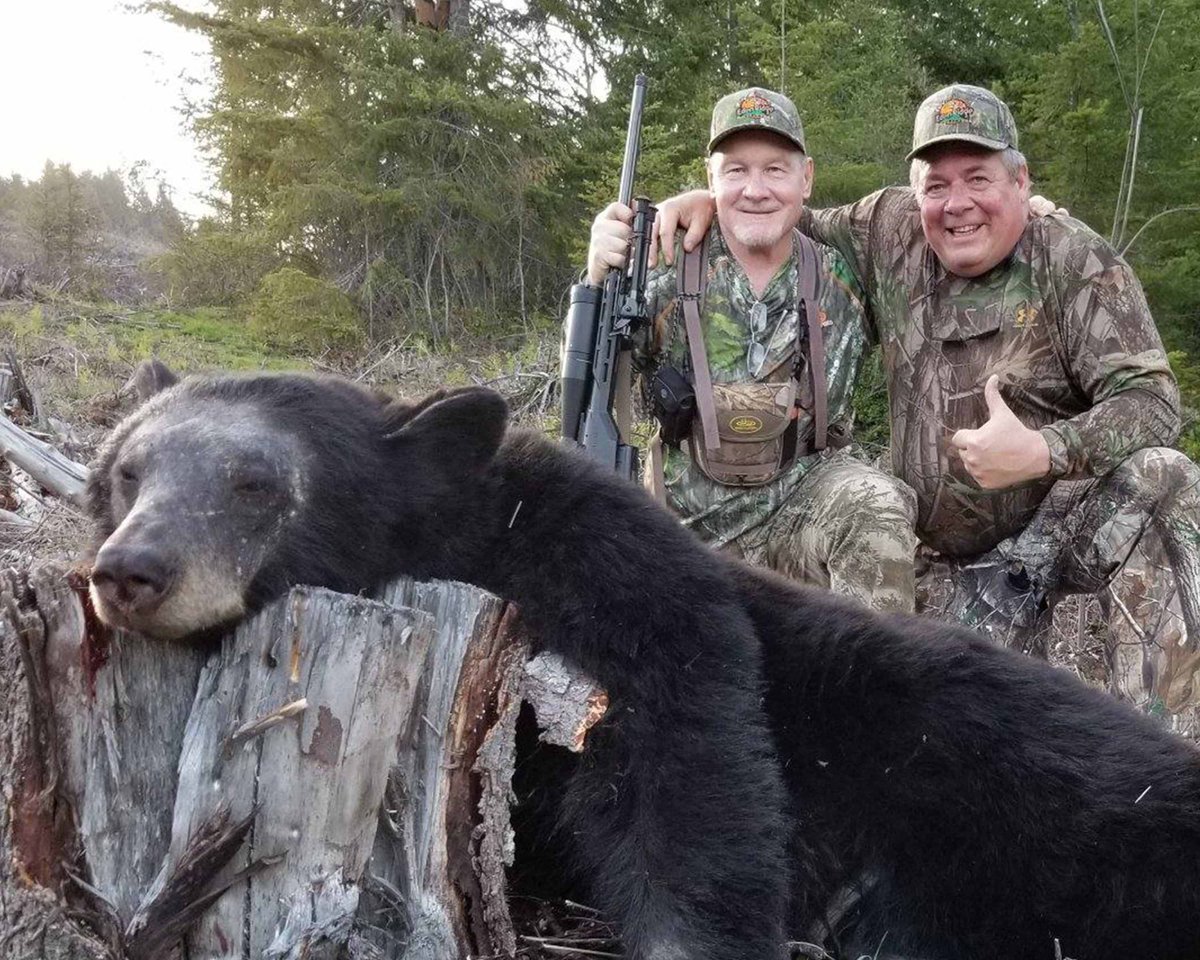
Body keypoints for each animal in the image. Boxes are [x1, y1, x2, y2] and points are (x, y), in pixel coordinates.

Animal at [85, 368, 1200, 960]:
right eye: (129, 472)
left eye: (254, 482)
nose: (130, 569)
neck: (477, 549)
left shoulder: (622, 579)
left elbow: (692, 769)